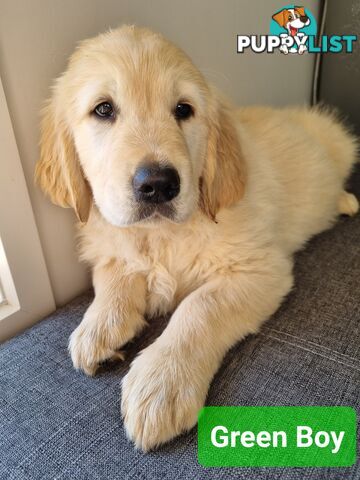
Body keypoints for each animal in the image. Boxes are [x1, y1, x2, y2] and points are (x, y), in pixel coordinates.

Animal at [35, 25, 358, 450]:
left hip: (338, 145)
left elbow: (198, 307)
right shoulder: (108, 247)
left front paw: (162, 382)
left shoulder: (261, 269)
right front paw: (99, 327)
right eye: (103, 110)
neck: (161, 236)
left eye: (183, 110)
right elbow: (112, 279)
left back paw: (346, 201)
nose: (158, 184)